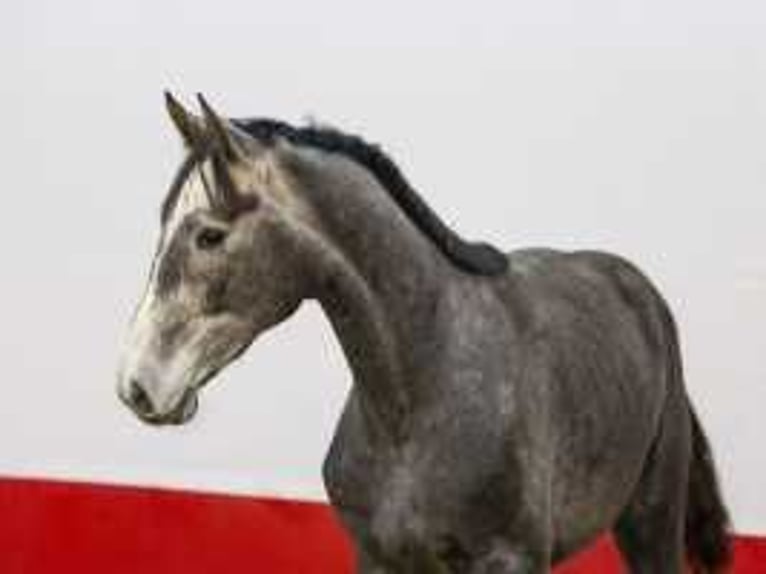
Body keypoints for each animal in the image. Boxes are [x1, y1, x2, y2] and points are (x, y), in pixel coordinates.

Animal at [117, 92, 736, 572]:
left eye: (210, 236)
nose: (137, 386)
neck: (419, 399)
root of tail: (639, 290)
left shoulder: (510, 561)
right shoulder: (378, 557)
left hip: (650, 521)